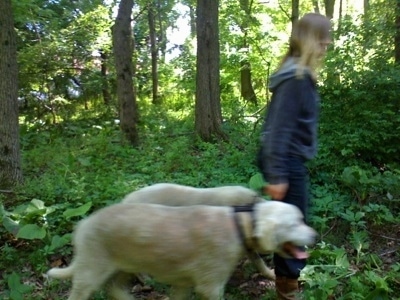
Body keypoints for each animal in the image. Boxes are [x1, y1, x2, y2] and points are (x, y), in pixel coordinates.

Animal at [47, 200, 316, 298]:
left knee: (114, 289)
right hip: (91, 270)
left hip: (124, 266)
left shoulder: (183, 284)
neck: (240, 224)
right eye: (295, 223)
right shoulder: (210, 286)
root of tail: (83, 224)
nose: (315, 235)